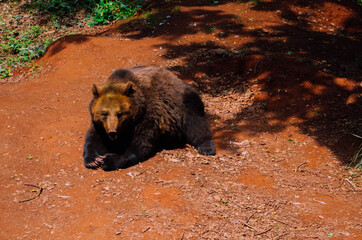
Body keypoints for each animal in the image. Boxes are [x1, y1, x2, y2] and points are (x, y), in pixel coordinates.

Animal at [82, 65, 215, 171]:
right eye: (104, 113)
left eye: (120, 113)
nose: (112, 132)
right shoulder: (98, 124)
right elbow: (94, 138)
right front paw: (93, 160)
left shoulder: (149, 115)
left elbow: (140, 144)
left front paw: (109, 160)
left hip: (185, 102)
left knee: (196, 123)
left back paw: (206, 147)